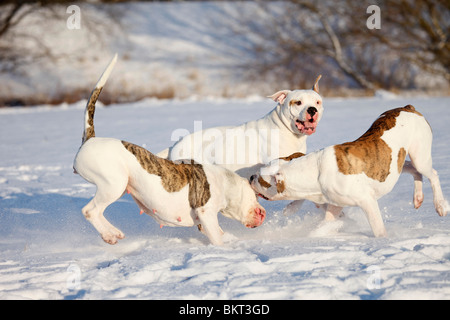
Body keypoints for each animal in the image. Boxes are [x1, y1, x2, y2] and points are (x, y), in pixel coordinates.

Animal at [72, 55, 266, 245]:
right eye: (255, 195)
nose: (263, 213)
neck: (225, 183)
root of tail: (91, 139)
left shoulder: (205, 222)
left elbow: (218, 233)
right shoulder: (206, 213)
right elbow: (217, 239)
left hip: (117, 186)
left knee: (96, 211)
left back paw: (113, 233)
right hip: (113, 183)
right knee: (90, 211)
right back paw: (109, 235)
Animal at [251, 105, 448, 238]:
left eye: (262, 180)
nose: (251, 176)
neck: (316, 172)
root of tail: (409, 108)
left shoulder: (367, 201)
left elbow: (377, 227)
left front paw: (383, 240)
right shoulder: (335, 203)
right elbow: (327, 220)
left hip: (420, 155)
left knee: (432, 174)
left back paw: (440, 205)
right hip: (396, 162)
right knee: (413, 170)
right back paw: (418, 198)